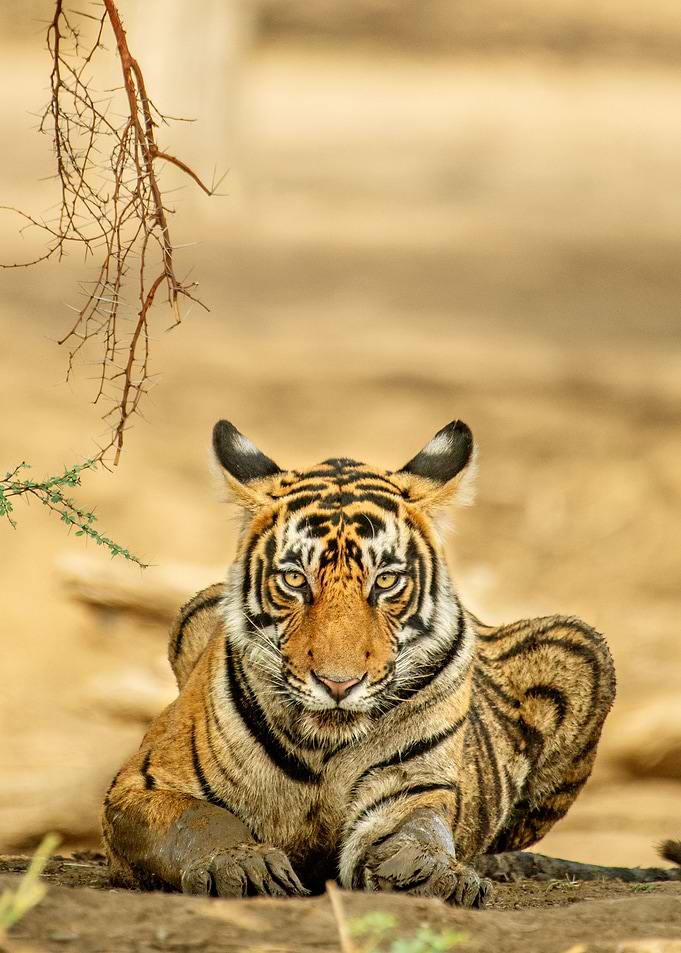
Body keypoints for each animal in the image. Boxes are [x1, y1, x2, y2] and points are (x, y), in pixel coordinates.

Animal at [102, 419, 681, 905]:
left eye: (385, 581)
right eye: (294, 579)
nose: (338, 683)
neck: (324, 746)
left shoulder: (412, 789)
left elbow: (418, 829)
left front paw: (432, 871)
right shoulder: (139, 786)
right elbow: (198, 819)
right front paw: (243, 865)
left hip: (581, 644)